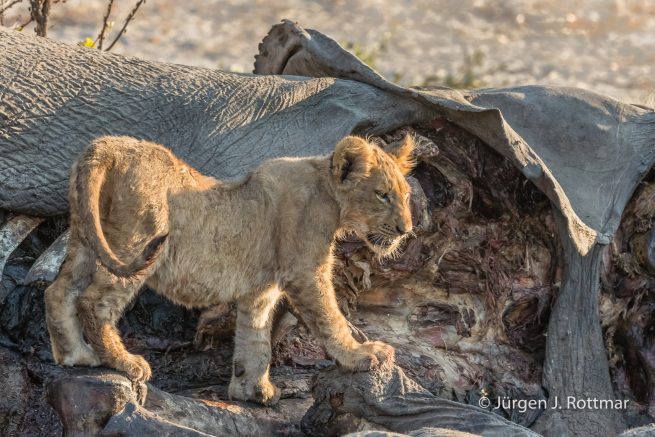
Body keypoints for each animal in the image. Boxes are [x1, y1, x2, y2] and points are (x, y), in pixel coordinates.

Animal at [45, 134, 415, 405]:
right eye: (382, 195)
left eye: (406, 195)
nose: (406, 230)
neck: (330, 194)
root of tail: (107, 146)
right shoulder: (305, 272)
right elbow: (330, 319)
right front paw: (360, 356)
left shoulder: (262, 289)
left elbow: (255, 338)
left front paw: (251, 390)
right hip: (136, 242)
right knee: (93, 302)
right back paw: (124, 362)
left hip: (86, 238)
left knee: (58, 291)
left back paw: (75, 355)